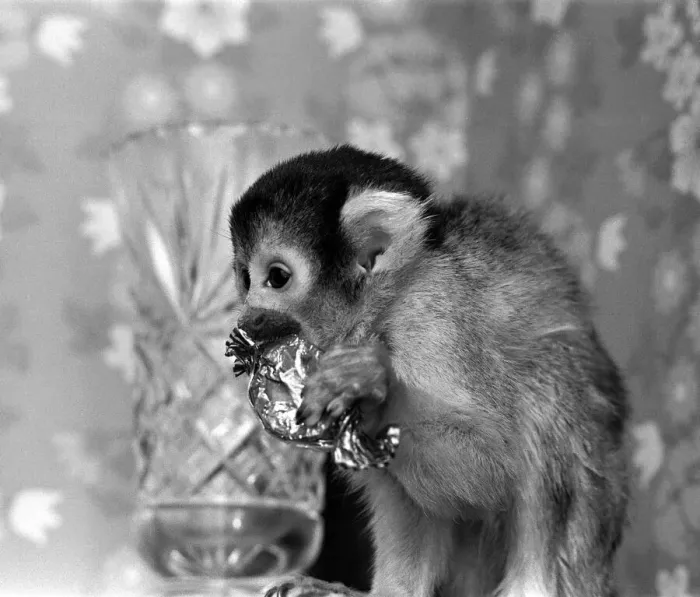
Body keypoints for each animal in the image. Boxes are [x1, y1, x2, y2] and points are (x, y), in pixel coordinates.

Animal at [227, 145, 630, 597]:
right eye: (245, 278)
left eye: (277, 278)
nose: (248, 317)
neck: (383, 308)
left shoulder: (431, 323)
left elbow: (489, 471)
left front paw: (375, 387)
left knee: (549, 372)